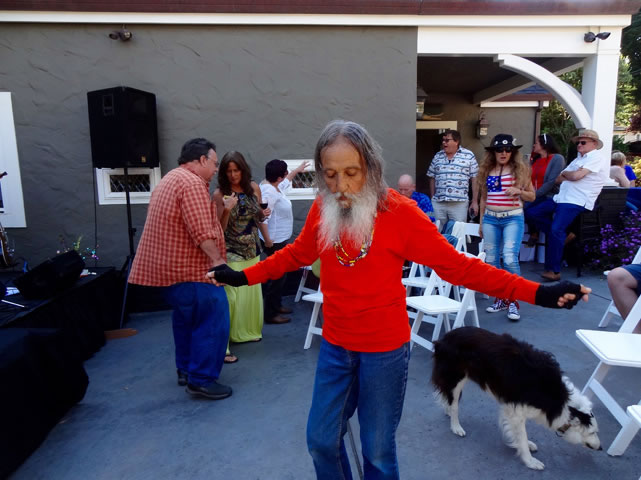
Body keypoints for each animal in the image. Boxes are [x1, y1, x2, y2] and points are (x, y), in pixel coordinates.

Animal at [431, 327, 601, 470]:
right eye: (593, 432)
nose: (601, 448)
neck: (561, 401)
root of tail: (446, 336)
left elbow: (519, 435)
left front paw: (528, 445)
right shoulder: (517, 412)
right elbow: (522, 436)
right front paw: (530, 461)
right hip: (456, 378)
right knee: (454, 404)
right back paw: (456, 426)